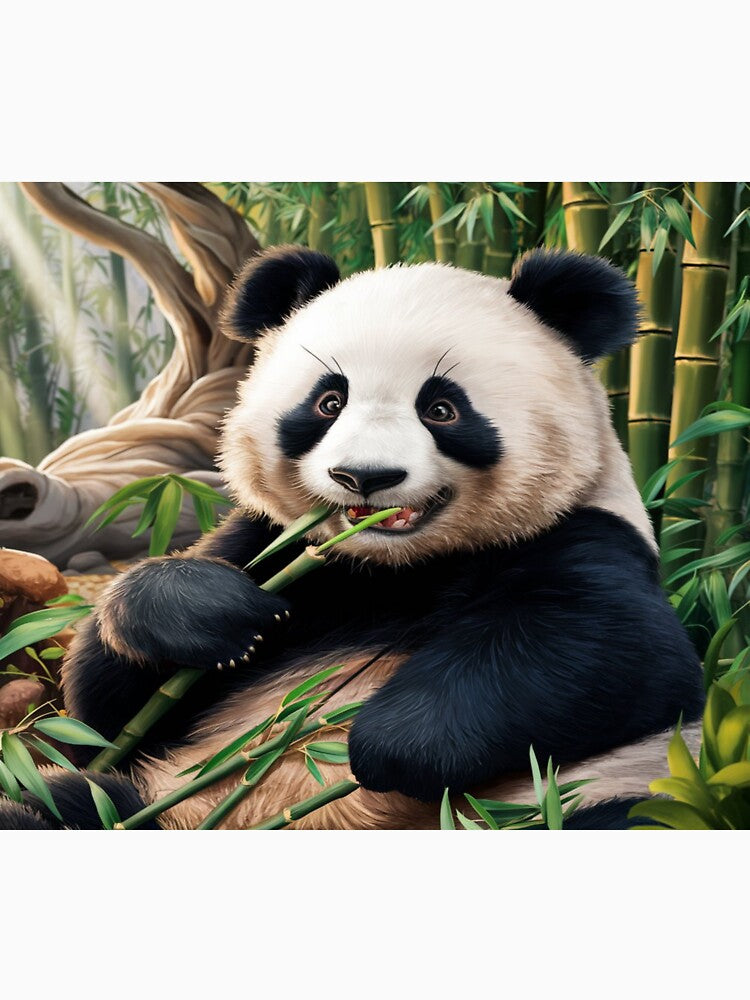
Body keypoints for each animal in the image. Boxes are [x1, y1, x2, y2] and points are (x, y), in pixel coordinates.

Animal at [0, 245, 705, 831]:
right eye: (329, 402)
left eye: (441, 408)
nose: (365, 477)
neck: (397, 568)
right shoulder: (285, 549)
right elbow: (106, 710)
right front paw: (212, 614)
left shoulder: (583, 533)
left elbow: (610, 653)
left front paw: (385, 743)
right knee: (65, 801)